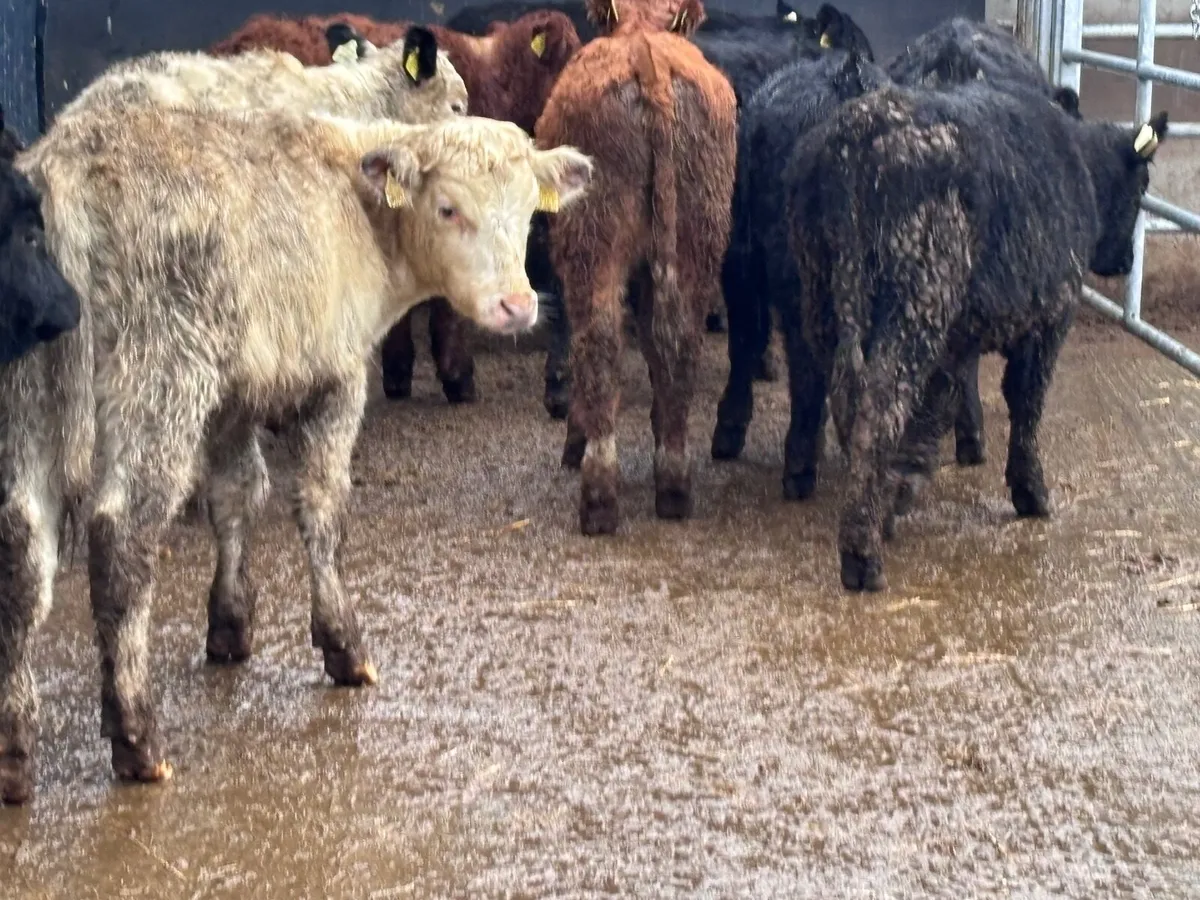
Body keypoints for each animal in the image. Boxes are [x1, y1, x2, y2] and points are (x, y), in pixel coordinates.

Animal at [537, 0, 737, 534]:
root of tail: (650, 62)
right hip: (696, 238)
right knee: (679, 342)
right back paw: (673, 481)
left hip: (593, 241)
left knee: (599, 343)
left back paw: (598, 496)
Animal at [783, 79, 1167, 591]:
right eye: (1141, 187)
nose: (1124, 261)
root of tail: (855, 136)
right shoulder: (1051, 317)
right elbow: (1025, 402)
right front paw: (1031, 491)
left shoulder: (960, 337)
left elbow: (945, 397)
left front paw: (910, 476)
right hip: (920, 296)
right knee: (880, 401)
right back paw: (862, 553)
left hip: (822, 292)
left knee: (845, 393)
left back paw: (873, 508)